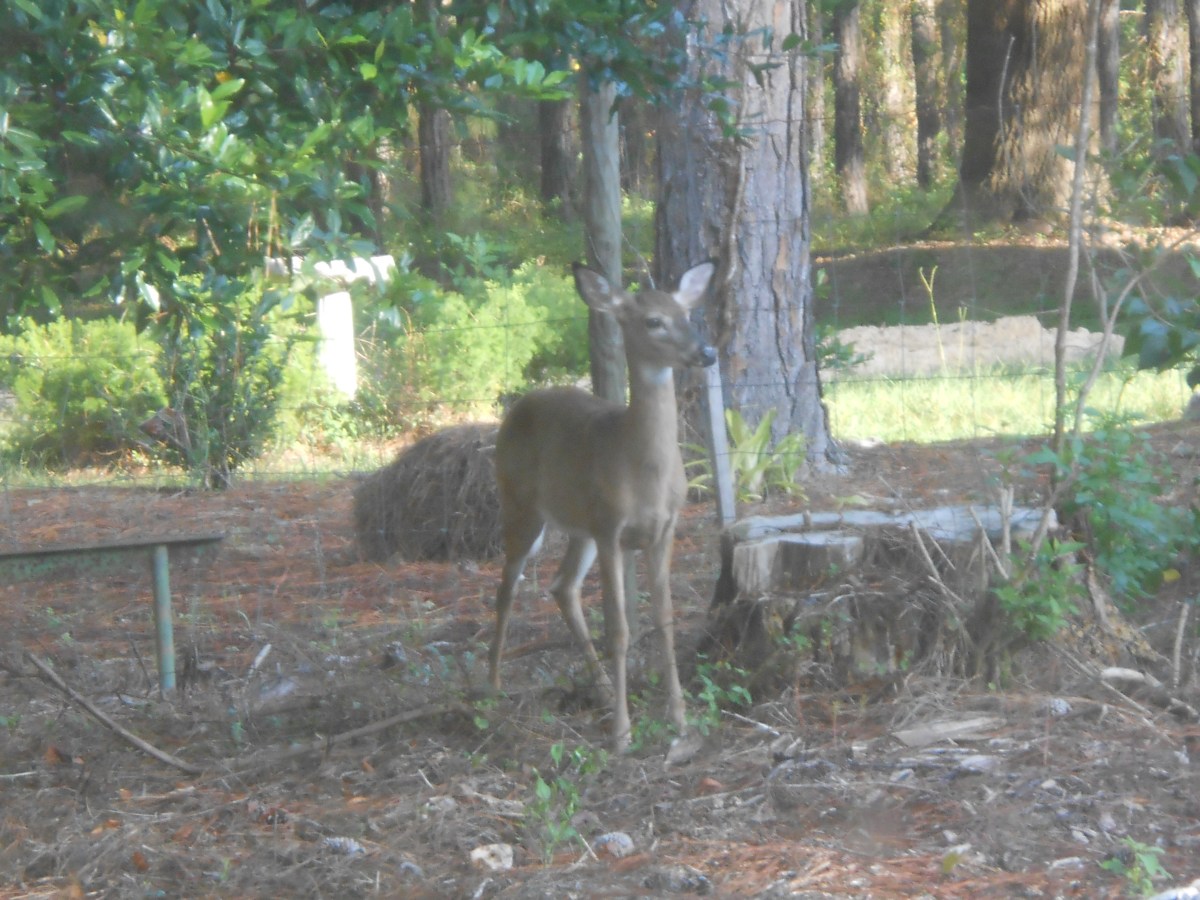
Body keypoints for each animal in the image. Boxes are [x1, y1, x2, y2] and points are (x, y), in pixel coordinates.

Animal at [488, 260, 717, 752]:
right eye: (653, 321)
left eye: (688, 314)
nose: (706, 352)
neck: (642, 470)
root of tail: (519, 403)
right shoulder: (612, 529)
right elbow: (620, 628)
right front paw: (622, 734)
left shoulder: (664, 527)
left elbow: (665, 619)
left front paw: (679, 719)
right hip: (519, 504)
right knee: (506, 589)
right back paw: (492, 684)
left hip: (581, 526)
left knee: (562, 585)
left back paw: (606, 688)